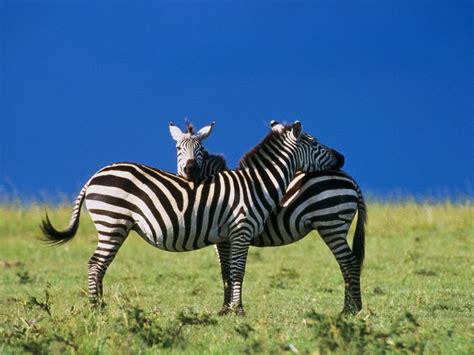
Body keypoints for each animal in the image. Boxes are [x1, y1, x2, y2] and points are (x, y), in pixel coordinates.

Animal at [40, 121, 344, 316]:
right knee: (95, 264)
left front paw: (228, 310)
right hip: (112, 222)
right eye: (315, 143)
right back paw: (95, 309)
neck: (255, 184)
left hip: (114, 225)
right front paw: (239, 311)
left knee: (100, 265)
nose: (342, 158)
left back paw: (100, 306)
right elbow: (238, 271)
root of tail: (95, 175)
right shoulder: (241, 230)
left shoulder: (226, 235)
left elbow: (228, 272)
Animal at [171, 120, 366, 314]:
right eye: (178, 148)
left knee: (348, 262)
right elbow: (225, 270)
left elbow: (229, 270)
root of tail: (350, 178)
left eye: (201, 149)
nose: (342, 158)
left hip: (331, 223)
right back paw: (350, 308)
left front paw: (228, 309)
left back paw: (350, 310)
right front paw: (226, 308)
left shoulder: (227, 237)